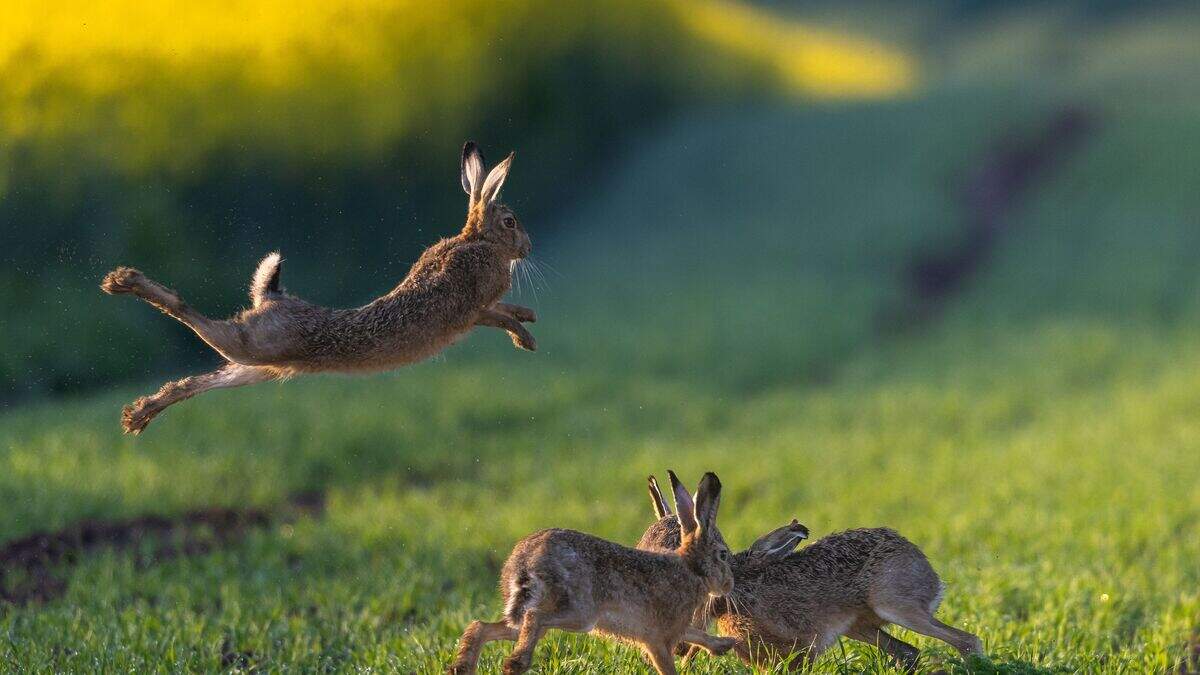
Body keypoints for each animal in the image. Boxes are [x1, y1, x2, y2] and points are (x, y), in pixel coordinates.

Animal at [101, 142, 537, 434]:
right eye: (511, 222)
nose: (528, 248)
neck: (477, 240)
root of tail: (270, 296)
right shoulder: (474, 308)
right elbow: (499, 316)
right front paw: (526, 337)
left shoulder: (475, 312)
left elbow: (505, 313)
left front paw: (528, 322)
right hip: (251, 344)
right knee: (191, 316)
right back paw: (124, 282)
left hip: (259, 366)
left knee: (199, 382)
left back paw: (140, 414)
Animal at [449, 471, 738, 675]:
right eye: (723, 555)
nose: (729, 584)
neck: (692, 569)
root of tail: (525, 562)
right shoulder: (657, 637)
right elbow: (670, 663)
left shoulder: (673, 630)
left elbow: (696, 634)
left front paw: (725, 644)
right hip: (580, 612)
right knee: (534, 618)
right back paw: (514, 665)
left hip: (529, 612)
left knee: (482, 627)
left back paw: (461, 668)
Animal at [639, 475, 984, 671]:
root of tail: (926, 568)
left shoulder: (802, 645)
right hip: (859, 626)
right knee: (907, 652)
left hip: (896, 605)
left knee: (966, 640)